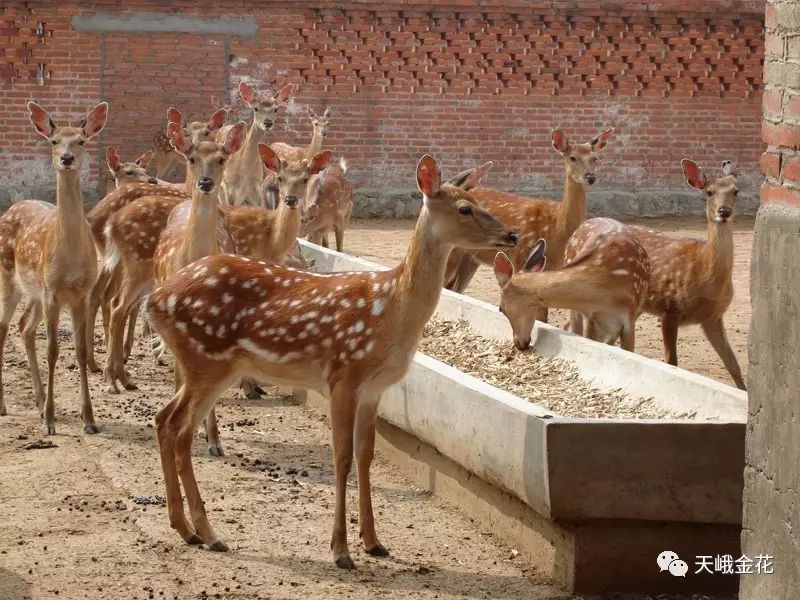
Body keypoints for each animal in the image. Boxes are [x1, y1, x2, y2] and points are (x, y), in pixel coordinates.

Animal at [0, 102, 107, 432]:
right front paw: (49, 421)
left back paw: (36, 402)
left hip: (35, 291)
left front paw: (89, 420)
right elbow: (53, 351)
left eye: (81, 141)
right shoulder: (53, 292)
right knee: (4, 329)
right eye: (54, 140)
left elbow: (81, 351)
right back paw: (7, 406)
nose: (66, 158)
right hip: (10, 280)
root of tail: (10, 208)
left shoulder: (80, 293)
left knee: (24, 327)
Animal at [146, 155, 516, 568]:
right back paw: (208, 533)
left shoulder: (375, 389)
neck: (391, 310)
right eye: (465, 208)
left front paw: (374, 542)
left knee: (165, 421)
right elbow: (342, 457)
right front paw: (341, 550)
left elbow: (366, 456)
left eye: (479, 200)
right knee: (177, 426)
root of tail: (154, 300)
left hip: (203, 366)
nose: (512, 236)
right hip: (208, 363)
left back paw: (188, 529)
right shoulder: (344, 375)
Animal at [444, 128, 612, 322]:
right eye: (572, 157)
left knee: (454, 288)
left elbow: (543, 317)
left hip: (471, 258)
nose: (590, 177)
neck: (557, 228)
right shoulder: (521, 257)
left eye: (595, 158)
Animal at [624, 158, 752, 390]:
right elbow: (671, 361)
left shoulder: (713, 317)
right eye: (709, 192)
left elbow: (734, 365)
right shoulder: (669, 307)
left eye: (736, 191)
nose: (724, 211)